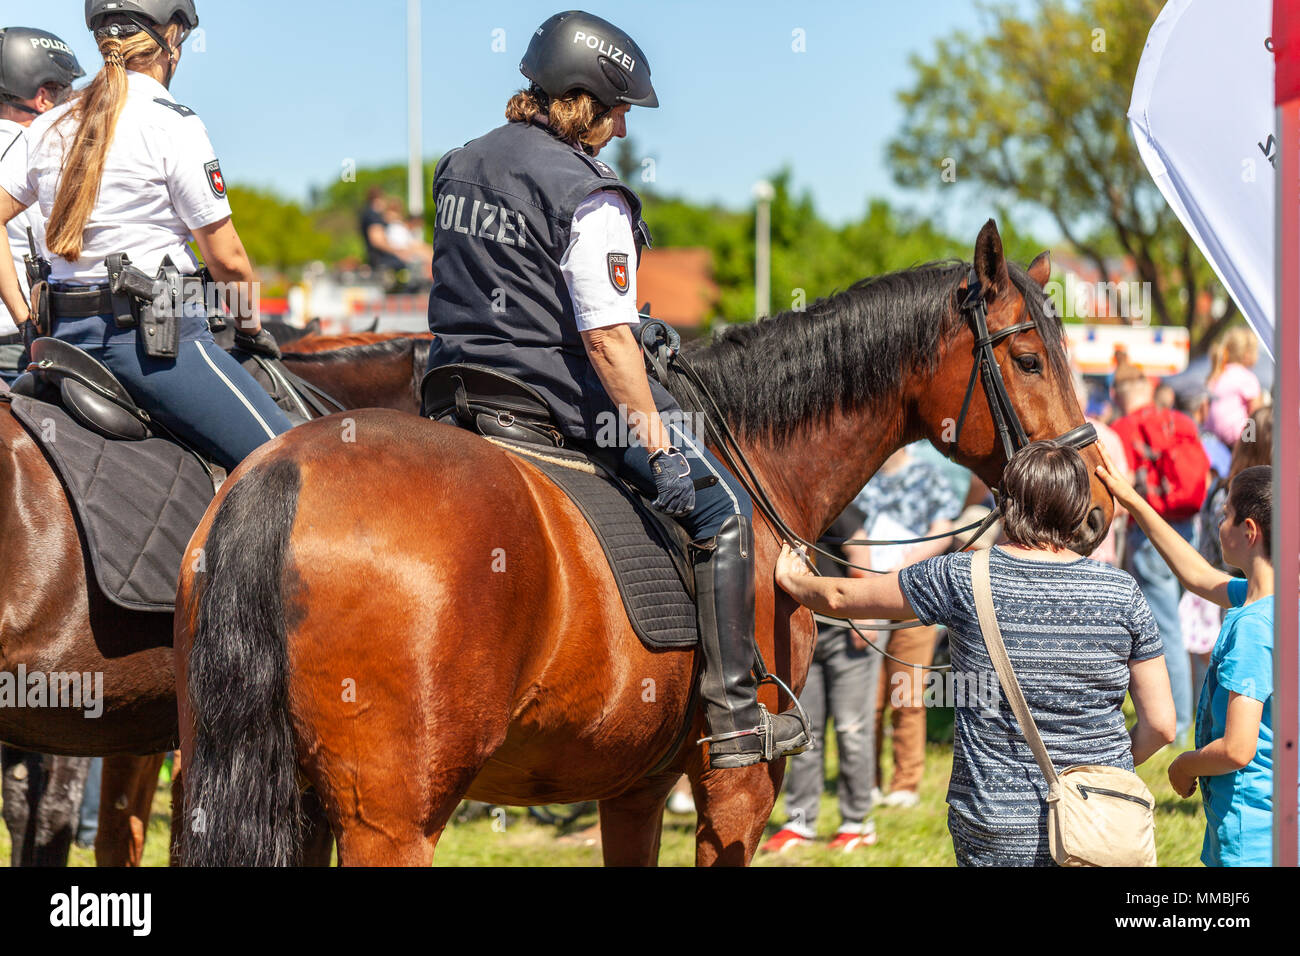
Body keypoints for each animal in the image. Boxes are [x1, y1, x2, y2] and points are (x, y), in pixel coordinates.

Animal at [173, 221, 1114, 867]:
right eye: (1030, 360)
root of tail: (284, 472)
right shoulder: (738, 785)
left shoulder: (633, 787)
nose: (1098, 507)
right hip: (390, 823)